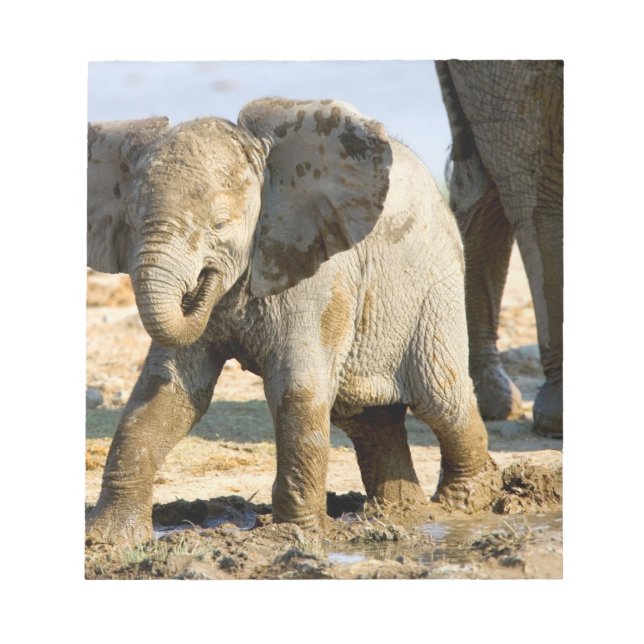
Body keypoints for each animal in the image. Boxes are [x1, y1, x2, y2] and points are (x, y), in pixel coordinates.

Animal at [85, 97, 502, 545]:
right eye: (131, 222)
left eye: (220, 224)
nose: (203, 280)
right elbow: (166, 392)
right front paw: (108, 539)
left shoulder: (317, 271)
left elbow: (296, 388)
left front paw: (293, 536)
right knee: (366, 417)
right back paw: (399, 513)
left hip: (435, 286)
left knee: (440, 397)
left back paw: (461, 505)